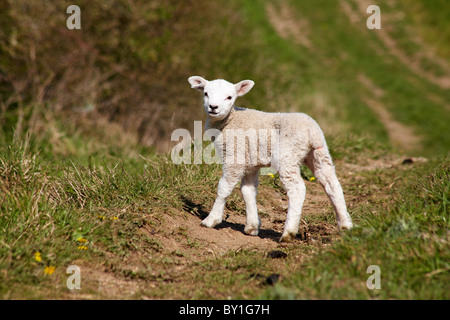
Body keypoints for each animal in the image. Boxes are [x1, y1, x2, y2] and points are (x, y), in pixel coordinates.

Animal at [188, 75, 354, 240]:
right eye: (205, 93)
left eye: (229, 97)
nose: (213, 107)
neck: (230, 120)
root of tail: (311, 131)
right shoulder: (250, 162)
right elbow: (248, 190)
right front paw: (252, 226)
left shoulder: (235, 156)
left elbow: (224, 187)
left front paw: (211, 220)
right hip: (318, 154)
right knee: (332, 184)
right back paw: (345, 226)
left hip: (288, 155)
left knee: (297, 189)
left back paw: (288, 233)